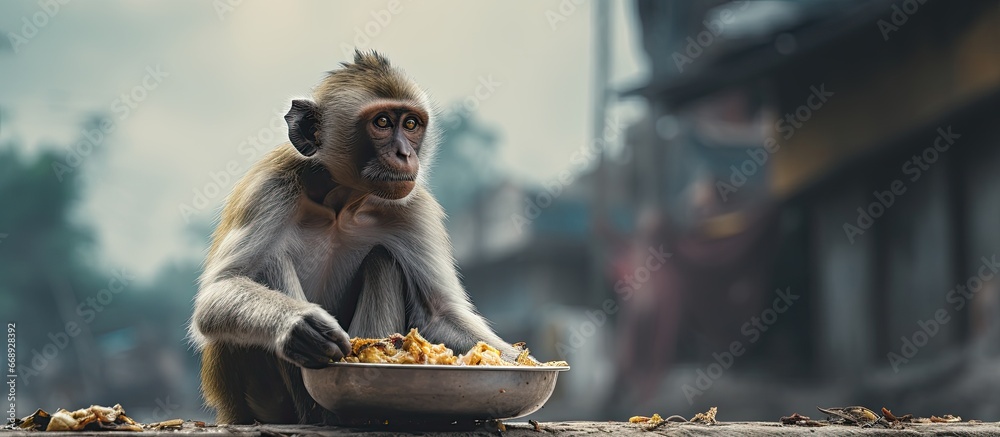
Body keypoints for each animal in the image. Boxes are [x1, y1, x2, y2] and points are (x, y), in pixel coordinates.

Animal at [191, 50, 524, 422]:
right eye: (382, 123)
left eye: (411, 125)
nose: (405, 154)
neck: (340, 201)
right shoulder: (269, 188)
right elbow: (218, 293)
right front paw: (299, 326)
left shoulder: (413, 207)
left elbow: (438, 313)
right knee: (270, 262)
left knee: (384, 260)